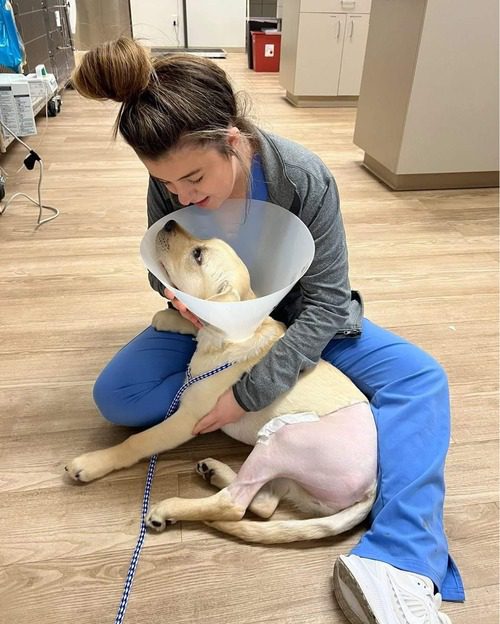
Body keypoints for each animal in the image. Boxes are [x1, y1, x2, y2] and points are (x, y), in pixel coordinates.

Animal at [65, 222, 376, 544]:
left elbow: (137, 441)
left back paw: (170, 508)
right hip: (283, 472)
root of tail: (371, 489)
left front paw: (92, 463)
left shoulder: (187, 420)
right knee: (263, 504)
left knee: (235, 504)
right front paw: (170, 318)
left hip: (284, 437)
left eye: (198, 255)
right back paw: (215, 472)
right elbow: (198, 323)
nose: (169, 223)